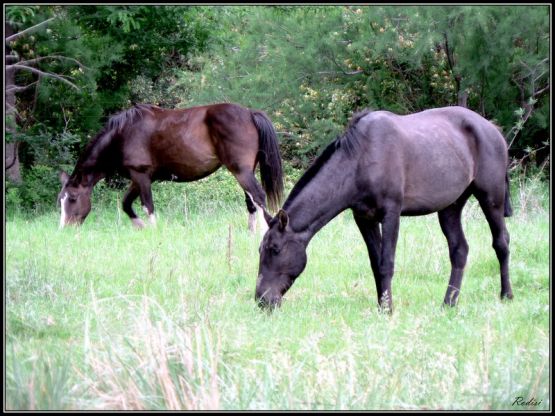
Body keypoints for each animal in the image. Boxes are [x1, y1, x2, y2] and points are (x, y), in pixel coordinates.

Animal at [57, 102, 284, 229]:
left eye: (73, 198)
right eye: (61, 200)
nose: (65, 228)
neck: (122, 135)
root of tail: (249, 113)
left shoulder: (141, 176)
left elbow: (147, 206)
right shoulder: (138, 179)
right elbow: (126, 204)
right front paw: (140, 228)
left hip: (241, 171)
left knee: (259, 197)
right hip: (244, 171)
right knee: (252, 202)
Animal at [258, 105, 516, 310]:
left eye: (275, 249)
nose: (261, 299)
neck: (359, 160)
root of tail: (494, 131)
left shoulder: (391, 213)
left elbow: (386, 263)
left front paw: (387, 309)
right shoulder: (364, 218)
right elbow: (375, 263)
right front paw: (382, 304)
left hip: (491, 198)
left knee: (501, 243)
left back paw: (506, 295)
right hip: (450, 207)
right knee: (459, 250)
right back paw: (449, 302)